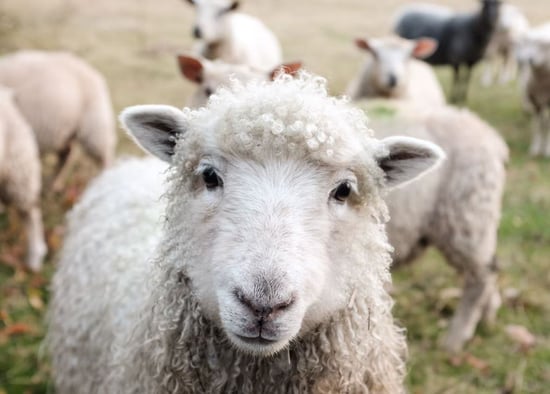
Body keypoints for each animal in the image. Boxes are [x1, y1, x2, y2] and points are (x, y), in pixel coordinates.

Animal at [0, 50, 117, 189]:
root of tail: (93, 72)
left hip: (94, 126)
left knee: (105, 156)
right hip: (67, 131)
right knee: (66, 155)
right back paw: (55, 184)